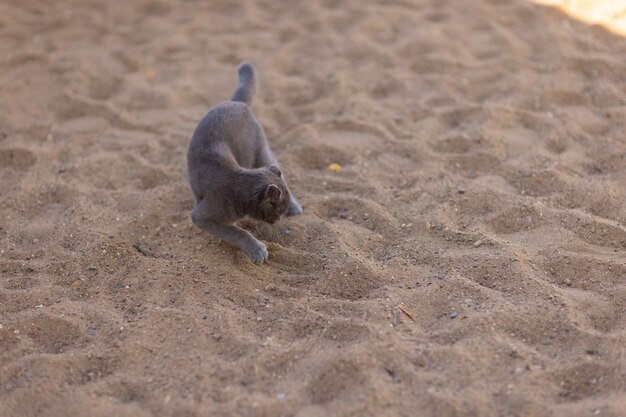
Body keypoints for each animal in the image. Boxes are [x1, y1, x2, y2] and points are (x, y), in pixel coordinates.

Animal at [186, 61, 302, 264]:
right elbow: (236, 231)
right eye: (278, 210)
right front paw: (257, 249)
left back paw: (295, 207)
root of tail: (237, 103)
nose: (279, 219)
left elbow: (235, 230)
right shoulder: (201, 217)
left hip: (261, 150)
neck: (237, 186)